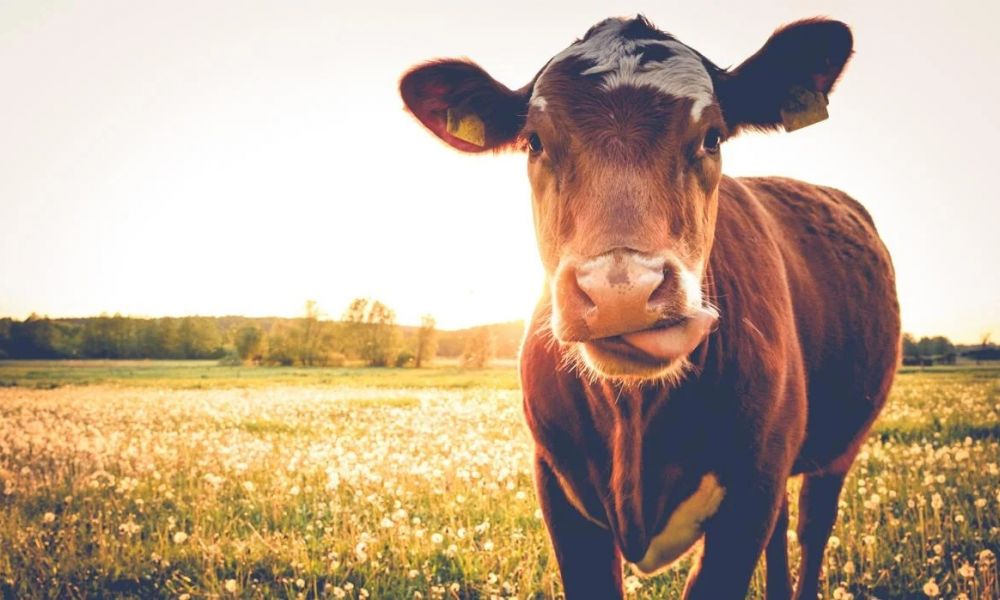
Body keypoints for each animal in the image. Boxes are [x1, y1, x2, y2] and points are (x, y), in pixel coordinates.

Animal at [400, 15, 900, 600]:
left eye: (712, 137)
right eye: (534, 141)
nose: (623, 290)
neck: (634, 418)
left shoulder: (751, 489)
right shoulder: (558, 486)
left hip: (838, 448)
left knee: (813, 527)